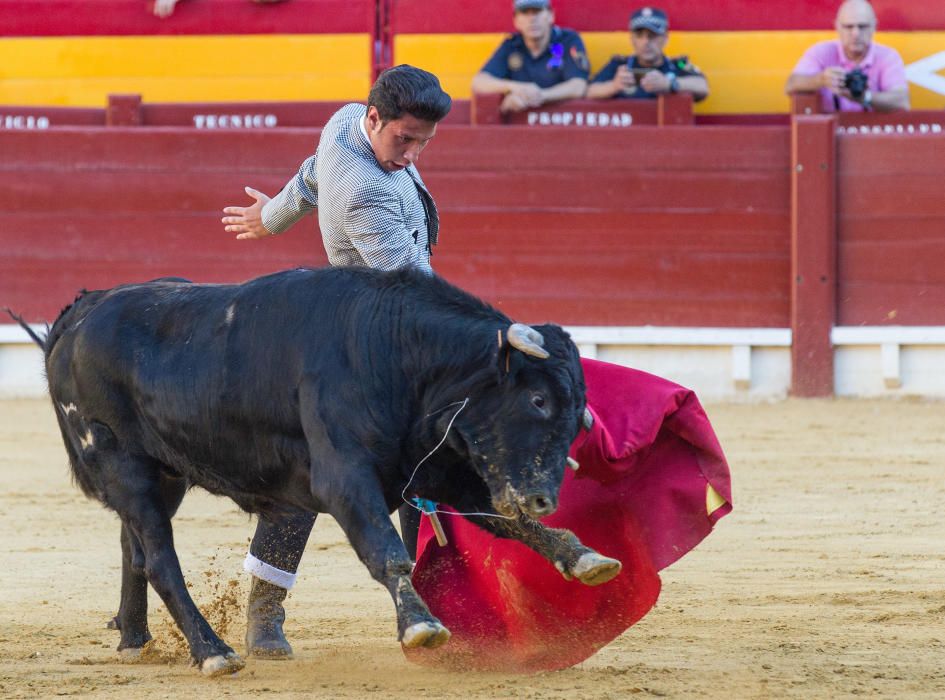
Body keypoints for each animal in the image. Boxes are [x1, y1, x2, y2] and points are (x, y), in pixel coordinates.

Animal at [16, 266, 620, 672]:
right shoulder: (345, 479)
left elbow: (508, 521)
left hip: (163, 473)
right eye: (538, 401)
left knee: (134, 549)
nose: (544, 496)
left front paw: (584, 556)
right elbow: (389, 552)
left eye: (577, 414)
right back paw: (213, 653)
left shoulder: (433, 470)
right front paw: (421, 627)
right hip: (121, 462)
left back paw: (135, 639)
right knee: (160, 559)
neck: (392, 349)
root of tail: (84, 310)